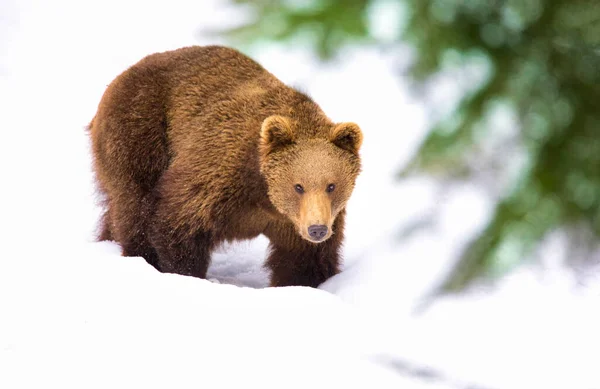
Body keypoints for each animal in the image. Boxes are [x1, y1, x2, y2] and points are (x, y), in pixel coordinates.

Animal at [88, 46, 360, 288]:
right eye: (298, 186)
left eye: (331, 185)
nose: (317, 229)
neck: (263, 194)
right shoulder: (218, 174)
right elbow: (176, 220)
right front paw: (184, 273)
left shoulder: (299, 223)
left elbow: (304, 262)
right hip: (140, 129)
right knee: (135, 204)